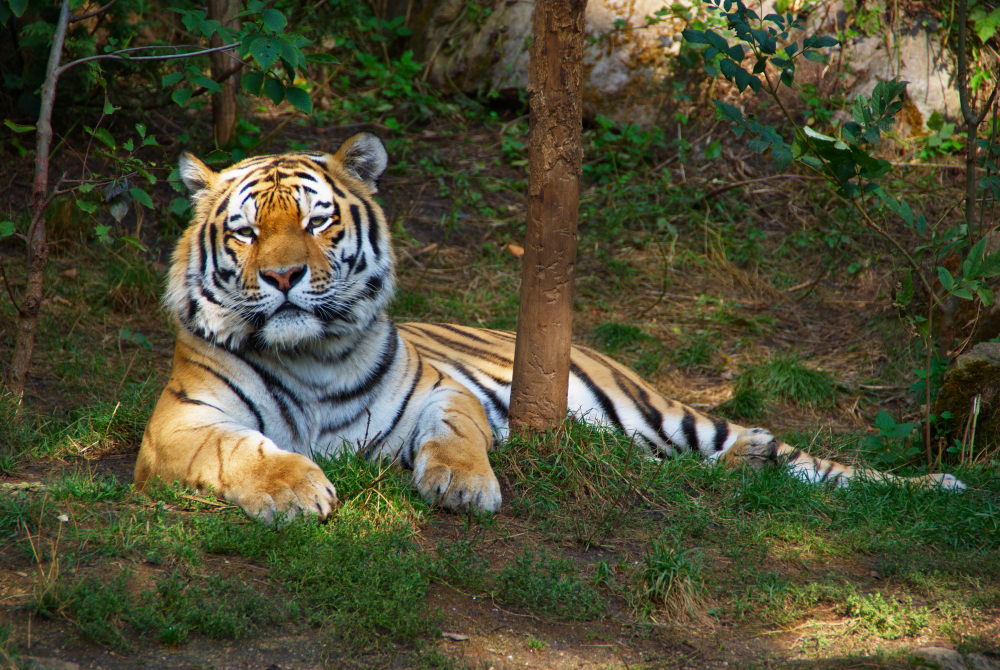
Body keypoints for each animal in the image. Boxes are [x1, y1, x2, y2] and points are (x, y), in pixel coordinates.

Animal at [135, 133, 968, 524]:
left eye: (315, 222)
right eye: (246, 232)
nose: (283, 278)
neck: (309, 353)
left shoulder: (439, 392)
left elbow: (458, 433)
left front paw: (464, 484)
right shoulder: (180, 424)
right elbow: (244, 449)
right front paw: (294, 490)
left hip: (664, 416)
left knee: (810, 460)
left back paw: (940, 486)